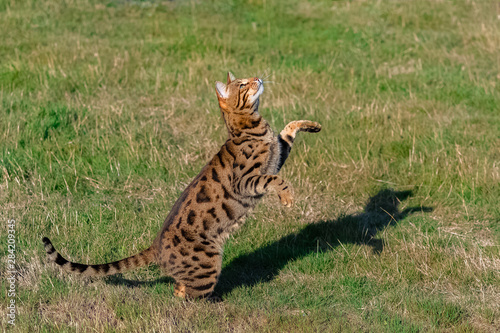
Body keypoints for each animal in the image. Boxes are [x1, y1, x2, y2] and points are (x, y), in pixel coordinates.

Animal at [44, 72, 324, 298]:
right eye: (244, 84)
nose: (259, 78)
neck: (251, 127)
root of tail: (156, 246)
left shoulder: (276, 157)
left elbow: (289, 128)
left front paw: (313, 124)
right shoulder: (247, 180)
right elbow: (276, 180)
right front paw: (287, 197)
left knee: (179, 287)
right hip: (208, 264)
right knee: (187, 297)